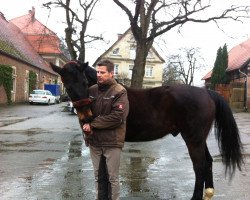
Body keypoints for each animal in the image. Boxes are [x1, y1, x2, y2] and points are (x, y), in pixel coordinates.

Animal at [49, 61, 243, 200]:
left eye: (84, 82)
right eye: (68, 85)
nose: (88, 117)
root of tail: (207, 93)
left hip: (193, 139)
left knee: (200, 166)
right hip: (199, 139)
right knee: (208, 162)